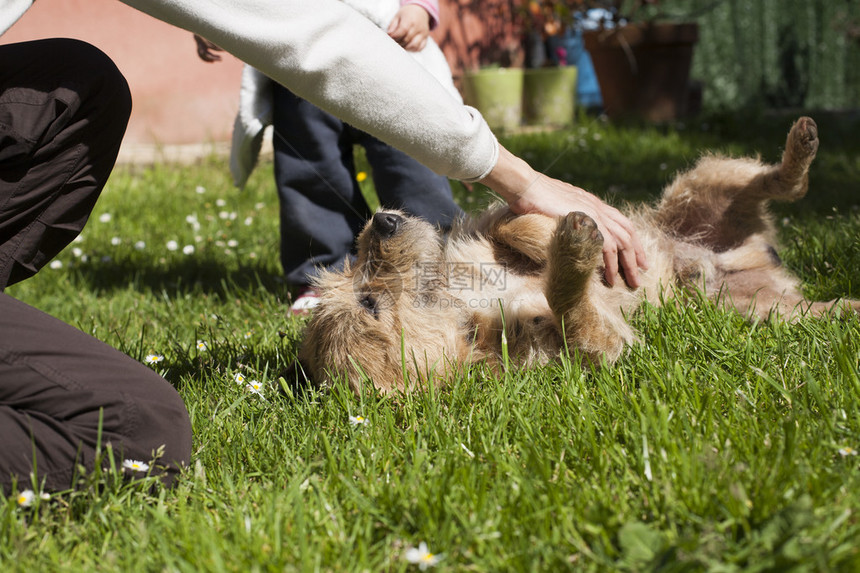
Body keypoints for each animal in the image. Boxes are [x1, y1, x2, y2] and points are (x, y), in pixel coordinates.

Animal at [292, 116, 856, 394]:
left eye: (354, 266)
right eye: (369, 304)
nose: (381, 220)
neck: (466, 306)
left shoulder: (494, 226)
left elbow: (519, 224)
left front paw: (564, 238)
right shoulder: (604, 346)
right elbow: (571, 306)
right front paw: (575, 254)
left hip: (705, 181)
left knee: (777, 182)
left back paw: (801, 144)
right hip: (763, 311)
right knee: (814, 303)